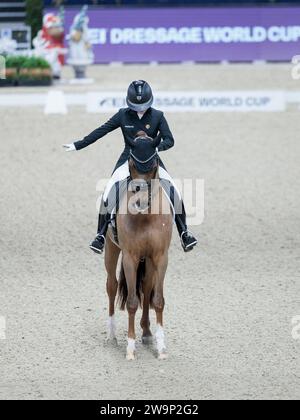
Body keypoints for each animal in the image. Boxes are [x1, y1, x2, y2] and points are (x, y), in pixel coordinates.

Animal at [104, 136, 173, 360]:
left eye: (153, 165)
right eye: (132, 165)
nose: (140, 201)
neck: (146, 216)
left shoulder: (160, 257)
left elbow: (157, 299)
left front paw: (161, 349)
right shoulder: (130, 257)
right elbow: (132, 302)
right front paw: (130, 349)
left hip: (149, 261)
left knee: (146, 285)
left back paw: (147, 332)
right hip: (111, 248)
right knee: (112, 285)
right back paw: (112, 336)